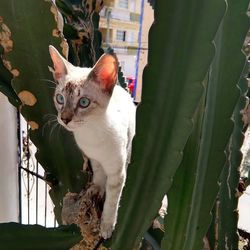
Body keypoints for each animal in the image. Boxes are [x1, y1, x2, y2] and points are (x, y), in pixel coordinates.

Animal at [48, 46, 136, 239]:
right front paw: (95, 189)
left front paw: (106, 227)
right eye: (60, 99)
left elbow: (111, 202)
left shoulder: (116, 173)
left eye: (83, 102)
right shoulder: (94, 159)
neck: (90, 133)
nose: (64, 119)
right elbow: (98, 177)